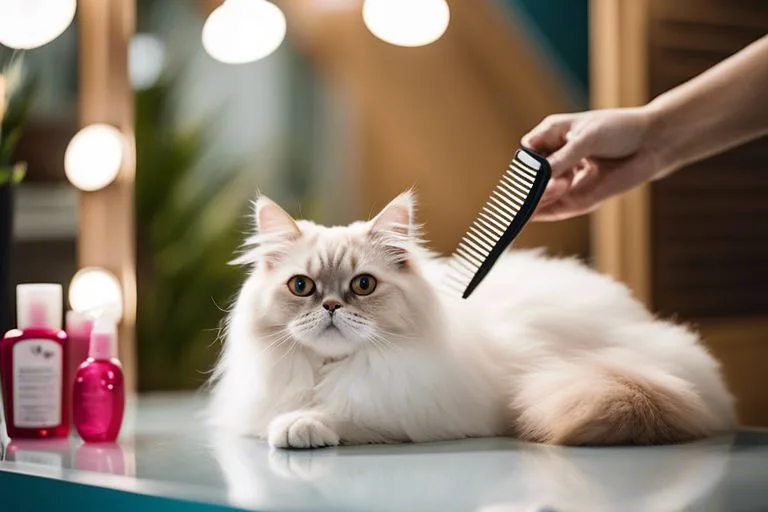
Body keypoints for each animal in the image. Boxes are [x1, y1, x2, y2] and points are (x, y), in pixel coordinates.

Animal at [207, 190, 736, 446]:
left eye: (363, 286)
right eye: (302, 287)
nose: (332, 307)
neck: (331, 370)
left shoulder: (415, 412)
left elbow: (349, 413)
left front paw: (301, 425)